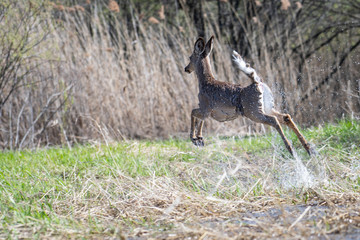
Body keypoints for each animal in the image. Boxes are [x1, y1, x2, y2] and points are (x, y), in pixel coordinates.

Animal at [184, 35, 314, 156]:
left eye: (190, 57)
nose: (186, 68)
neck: (205, 82)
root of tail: (257, 83)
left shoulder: (205, 107)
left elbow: (193, 113)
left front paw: (194, 139)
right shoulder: (205, 110)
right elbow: (201, 120)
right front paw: (200, 139)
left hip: (253, 111)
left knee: (274, 120)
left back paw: (292, 150)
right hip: (267, 107)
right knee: (286, 117)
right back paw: (309, 149)